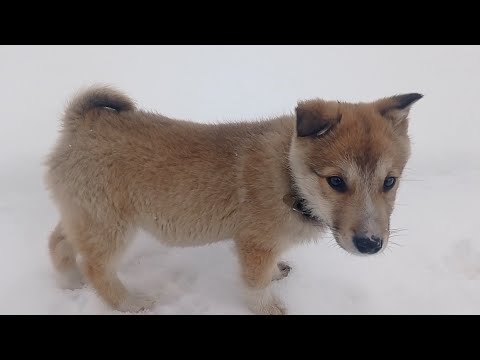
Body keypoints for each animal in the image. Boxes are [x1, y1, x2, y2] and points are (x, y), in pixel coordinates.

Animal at [44, 86, 420, 314]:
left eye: (389, 182)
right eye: (337, 182)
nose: (370, 244)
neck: (288, 175)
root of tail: (82, 122)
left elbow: (267, 271)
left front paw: (277, 274)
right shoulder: (255, 245)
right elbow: (255, 284)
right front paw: (269, 308)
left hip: (84, 215)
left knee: (58, 242)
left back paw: (68, 281)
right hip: (110, 225)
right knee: (97, 267)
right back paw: (129, 302)